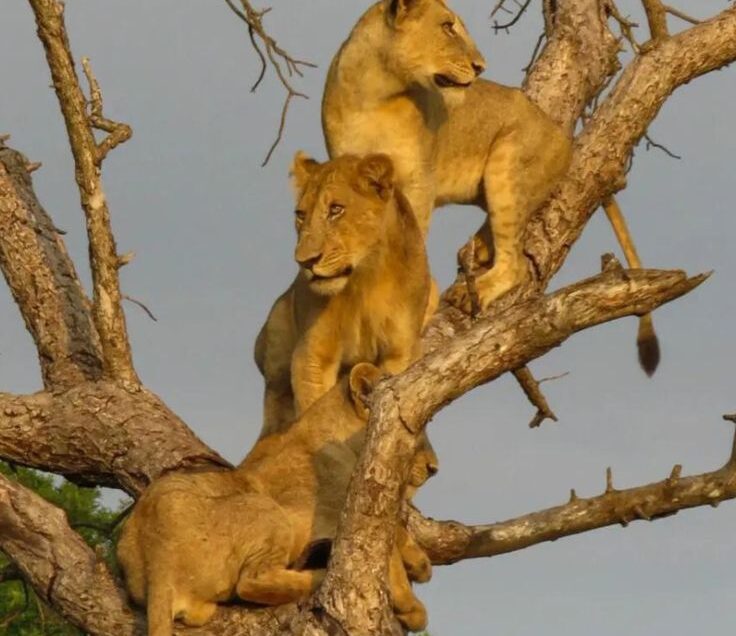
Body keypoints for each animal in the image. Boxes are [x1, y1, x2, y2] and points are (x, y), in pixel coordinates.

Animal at [117, 363, 437, 635]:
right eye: (420, 428)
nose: (434, 468)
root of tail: (158, 560)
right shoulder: (343, 511)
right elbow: (386, 550)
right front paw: (411, 606)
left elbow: (397, 531)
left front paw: (419, 563)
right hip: (265, 508)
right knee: (251, 582)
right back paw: (317, 575)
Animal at [254, 152, 429, 436]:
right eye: (301, 215)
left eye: (336, 209)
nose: (305, 261)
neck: (364, 279)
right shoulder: (312, 354)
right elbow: (313, 411)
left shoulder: (399, 352)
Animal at [322, 0, 573, 312]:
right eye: (447, 27)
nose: (480, 67)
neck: (375, 94)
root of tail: (561, 135)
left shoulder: (419, 181)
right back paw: (479, 247)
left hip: (505, 162)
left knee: (516, 264)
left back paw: (473, 291)